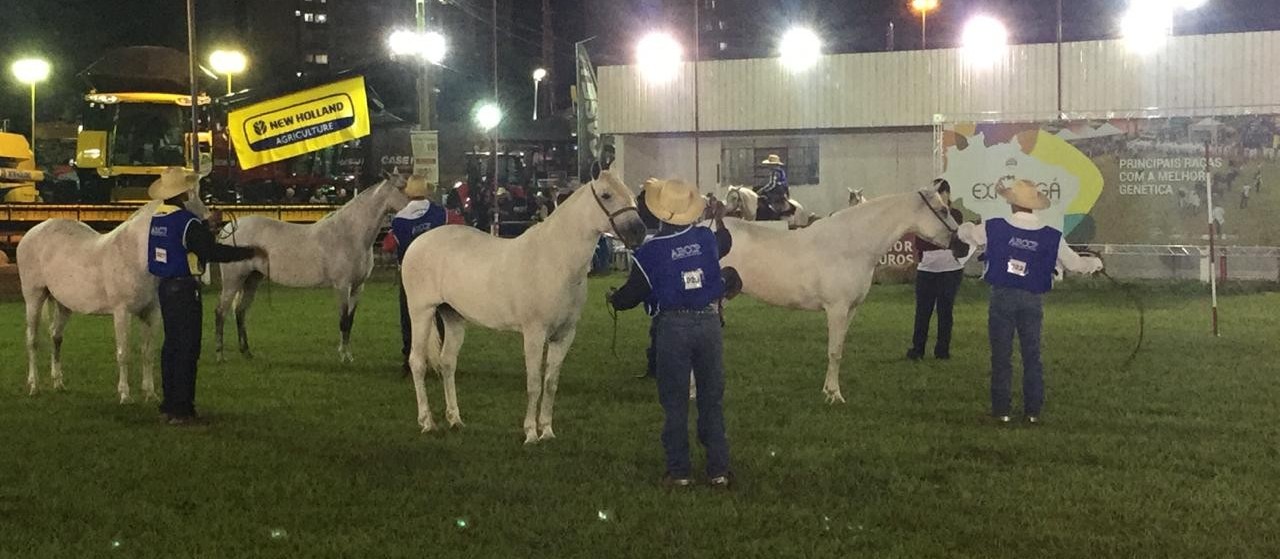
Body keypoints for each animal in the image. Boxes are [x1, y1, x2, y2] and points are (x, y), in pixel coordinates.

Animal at [18, 195, 208, 401]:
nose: (209, 223)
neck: (134, 253)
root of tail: (30, 234)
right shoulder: (122, 312)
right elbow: (123, 353)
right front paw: (124, 394)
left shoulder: (151, 312)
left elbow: (148, 352)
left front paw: (150, 394)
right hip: (33, 298)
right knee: (32, 341)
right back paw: (34, 386)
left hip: (63, 305)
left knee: (56, 337)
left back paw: (58, 383)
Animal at [213, 175, 404, 360]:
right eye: (401, 188)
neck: (349, 234)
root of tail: (228, 229)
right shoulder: (343, 286)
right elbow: (343, 321)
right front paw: (343, 356)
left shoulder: (358, 287)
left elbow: (349, 322)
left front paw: (348, 355)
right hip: (233, 280)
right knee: (221, 312)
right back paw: (220, 355)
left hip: (252, 279)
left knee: (240, 312)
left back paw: (246, 352)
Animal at [401, 172, 645, 442]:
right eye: (606, 195)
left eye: (631, 195)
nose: (639, 232)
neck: (556, 261)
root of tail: (418, 242)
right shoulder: (534, 333)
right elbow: (534, 383)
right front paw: (530, 433)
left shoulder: (564, 335)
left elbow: (550, 383)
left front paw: (547, 431)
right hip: (421, 312)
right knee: (417, 362)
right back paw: (427, 422)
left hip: (452, 316)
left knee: (447, 363)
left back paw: (455, 420)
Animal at [721, 189, 962, 404]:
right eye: (943, 210)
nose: (962, 245)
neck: (850, 245)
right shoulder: (837, 309)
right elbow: (834, 352)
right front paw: (835, 395)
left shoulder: (851, 309)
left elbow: (839, 350)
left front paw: (828, 390)